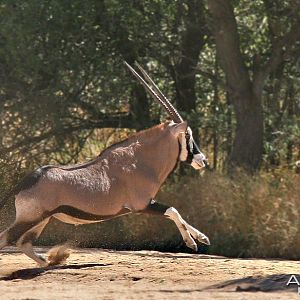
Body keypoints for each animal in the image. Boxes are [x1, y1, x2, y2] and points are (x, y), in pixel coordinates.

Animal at [0, 62, 210, 266]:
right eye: (188, 135)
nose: (202, 160)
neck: (141, 160)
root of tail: (26, 180)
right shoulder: (142, 204)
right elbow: (174, 211)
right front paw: (191, 242)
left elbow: (177, 213)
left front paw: (202, 237)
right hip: (31, 218)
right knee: (7, 239)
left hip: (40, 219)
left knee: (23, 243)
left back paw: (49, 262)